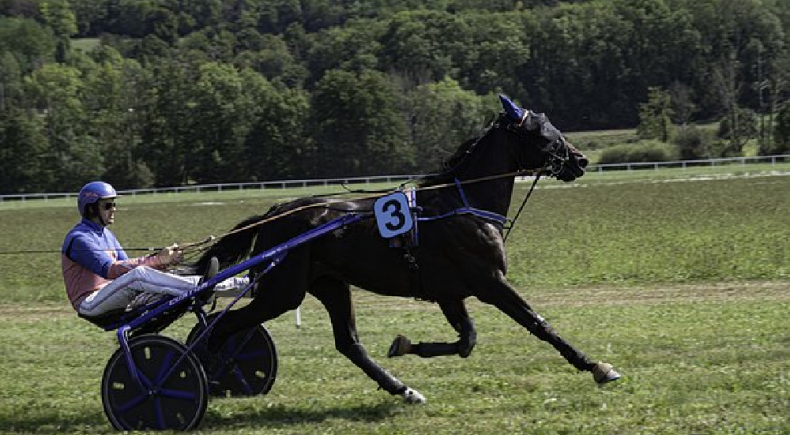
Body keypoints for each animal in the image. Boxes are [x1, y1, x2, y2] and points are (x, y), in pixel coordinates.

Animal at [195, 95, 620, 406]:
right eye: (545, 133)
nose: (581, 160)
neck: (463, 203)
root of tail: (274, 213)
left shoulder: (450, 292)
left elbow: (466, 342)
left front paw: (404, 345)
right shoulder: (490, 282)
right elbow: (539, 324)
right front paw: (596, 366)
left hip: (331, 285)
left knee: (349, 343)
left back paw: (404, 390)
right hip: (283, 292)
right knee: (221, 327)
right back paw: (205, 374)